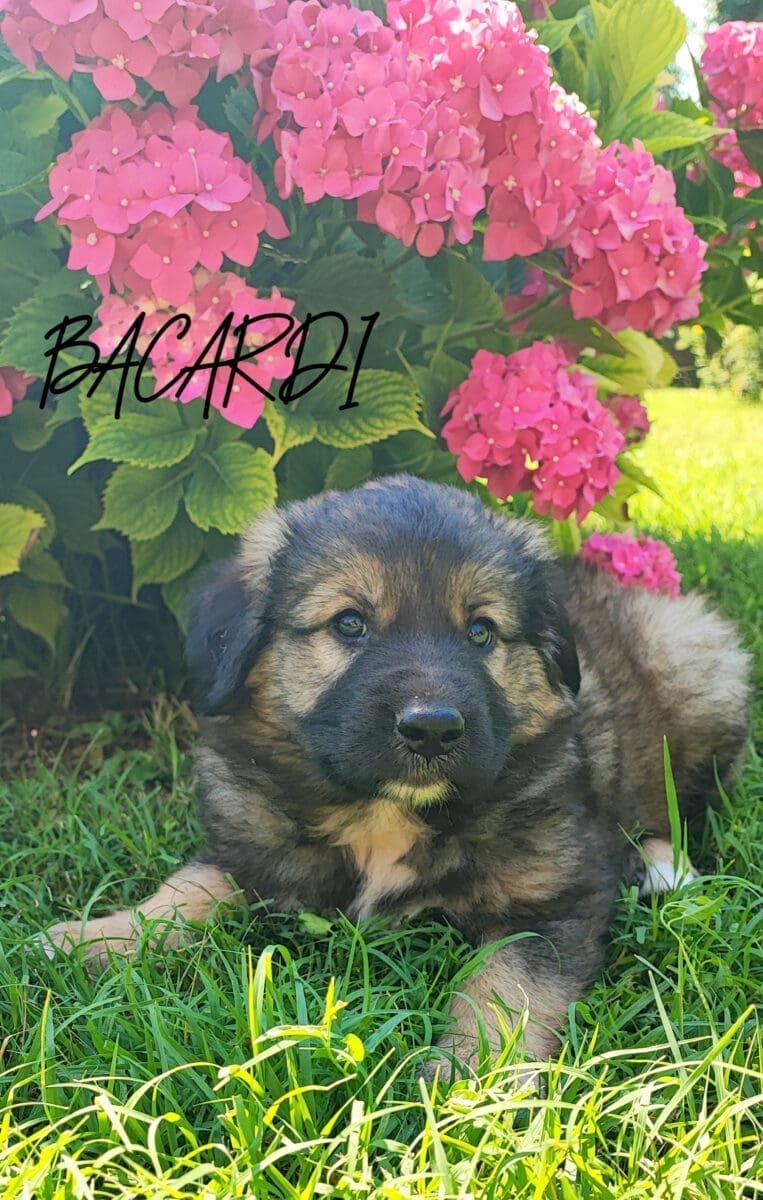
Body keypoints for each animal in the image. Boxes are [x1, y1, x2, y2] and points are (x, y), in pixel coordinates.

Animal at [45, 475, 752, 1072]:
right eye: (349, 623)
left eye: (480, 631)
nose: (432, 728)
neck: (383, 811)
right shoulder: (248, 844)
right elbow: (184, 891)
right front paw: (94, 938)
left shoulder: (551, 899)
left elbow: (505, 988)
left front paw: (472, 1088)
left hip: (696, 676)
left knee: (684, 805)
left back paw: (661, 867)